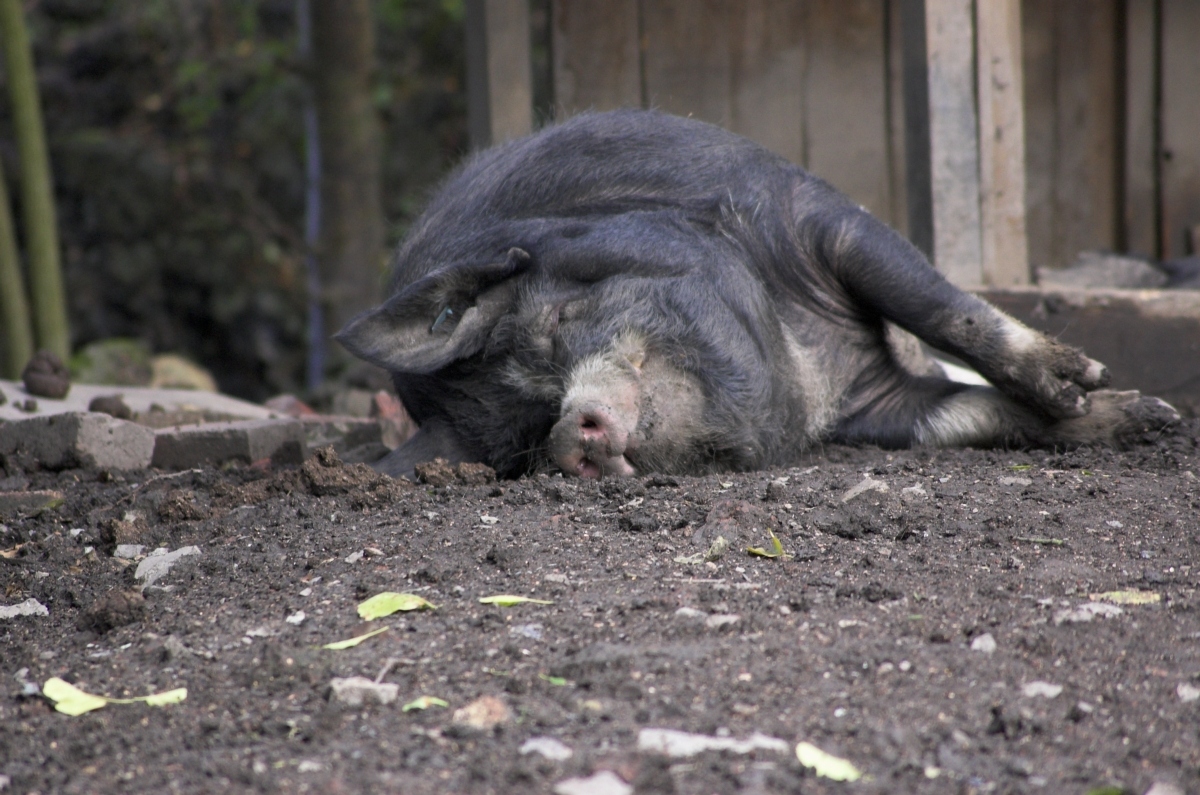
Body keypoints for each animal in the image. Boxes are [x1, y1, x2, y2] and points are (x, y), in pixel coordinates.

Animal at [340, 105, 1180, 480]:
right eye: (523, 437)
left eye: (558, 319)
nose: (571, 432)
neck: (811, 377)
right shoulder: (879, 409)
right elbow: (967, 415)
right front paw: (1141, 417)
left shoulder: (807, 216)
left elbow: (945, 309)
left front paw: (1099, 392)